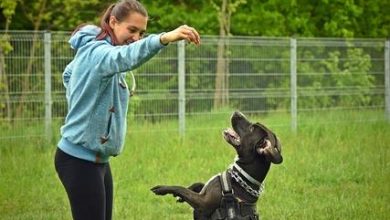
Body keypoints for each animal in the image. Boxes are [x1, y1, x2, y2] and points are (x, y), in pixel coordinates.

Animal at [151, 112, 282, 219]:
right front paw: (180, 195)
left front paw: (162, 189)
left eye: (251, 128)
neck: (240, 178)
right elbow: (197, 184)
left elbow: (181, 189)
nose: (237, 112)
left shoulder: (202, 203)